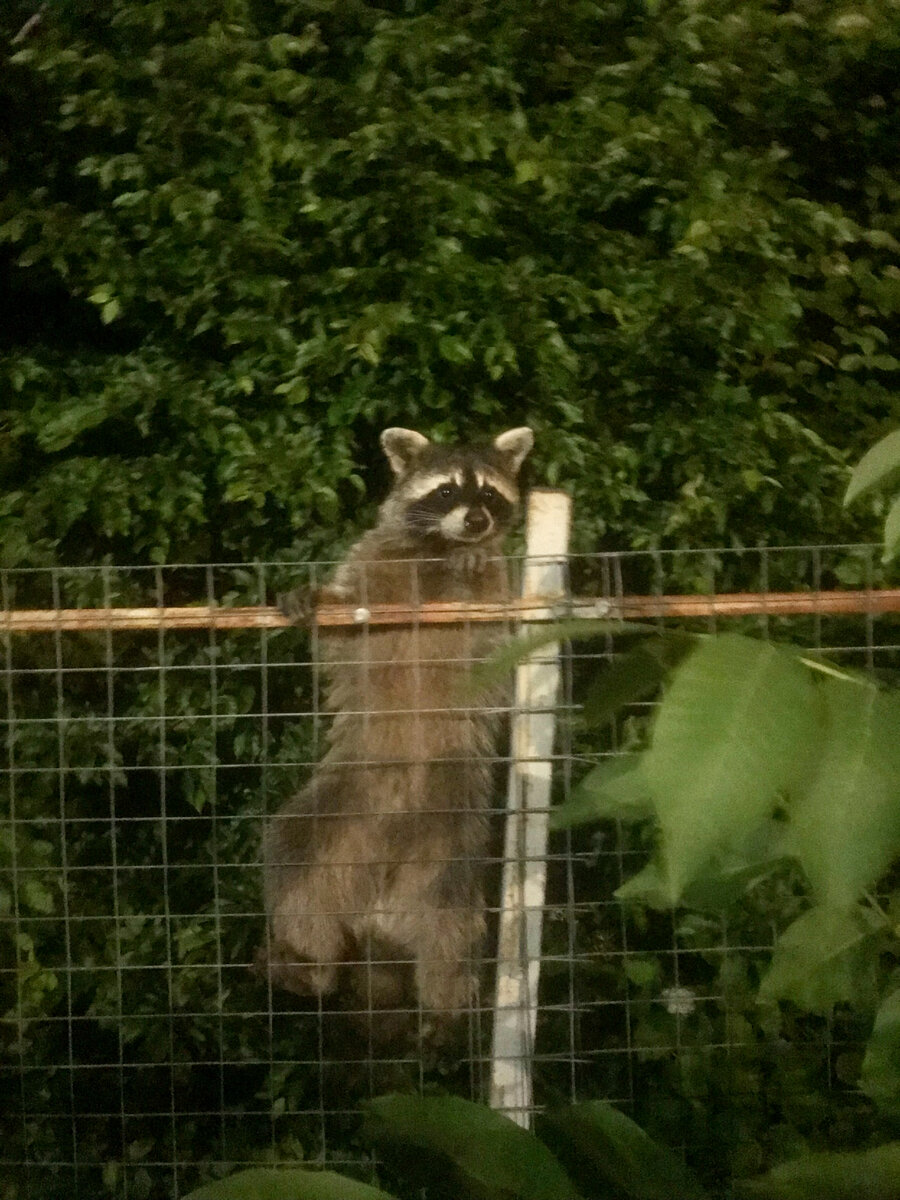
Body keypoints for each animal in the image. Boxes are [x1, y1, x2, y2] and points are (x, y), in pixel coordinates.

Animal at [256, 427, 532, 1036]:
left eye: (490, 494)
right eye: (448, 490)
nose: (476, 521)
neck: (438, 550)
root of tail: (378, 907)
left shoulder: (498, 589)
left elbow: (493, 629)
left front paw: (475, 559)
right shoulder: (371, 564)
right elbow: (344, 634)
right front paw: (314, 598)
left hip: (454, 844)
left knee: (452, 931)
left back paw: (447, 1007)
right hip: (333, 820)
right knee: (293, 868)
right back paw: (307, 965)